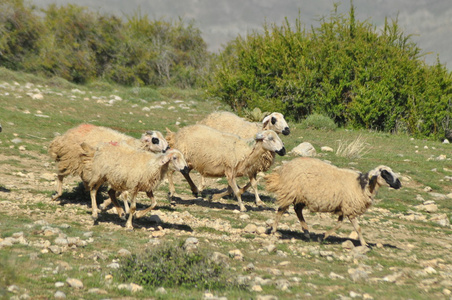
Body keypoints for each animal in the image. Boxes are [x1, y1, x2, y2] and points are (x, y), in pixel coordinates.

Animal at [264, 157, 402, 246]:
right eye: (385, 173)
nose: (399, 184)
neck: (362, 185)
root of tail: (283, 169)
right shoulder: (350, 208)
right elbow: (358, 228)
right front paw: (364, 244)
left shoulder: (343, 208)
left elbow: (339, 224)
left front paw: (324, 236)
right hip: (290, 192)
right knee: (281, 210)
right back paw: (274, 230)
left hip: (301, 196)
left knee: (297, 210)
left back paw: (307, 232)